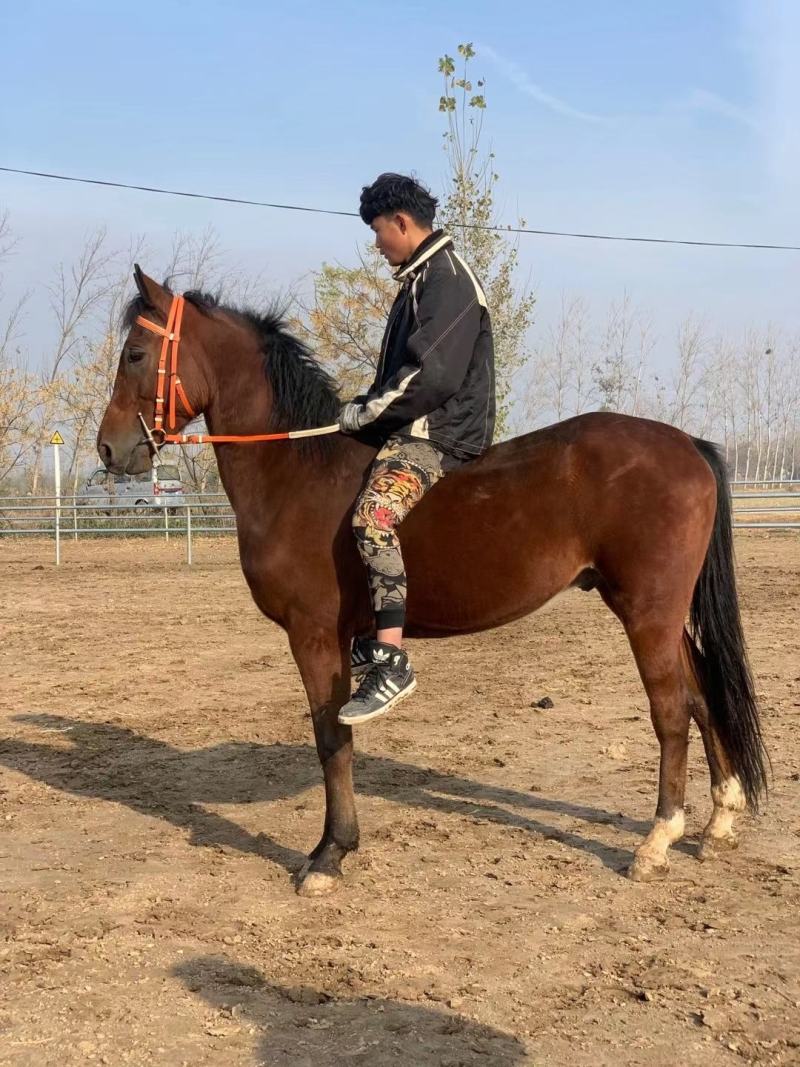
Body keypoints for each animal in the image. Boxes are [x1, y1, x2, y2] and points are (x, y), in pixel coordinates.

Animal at [96, 268, 768, 897]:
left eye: (136, 354)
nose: (109, 450)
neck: (298, 472)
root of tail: (687, 444)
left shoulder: (313, 635)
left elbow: (331, 735)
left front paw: (330, 854)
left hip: (647, 613)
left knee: (671, 710)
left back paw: (657, 840)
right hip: (664, 615)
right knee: (703, 696)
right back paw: (718, 820)